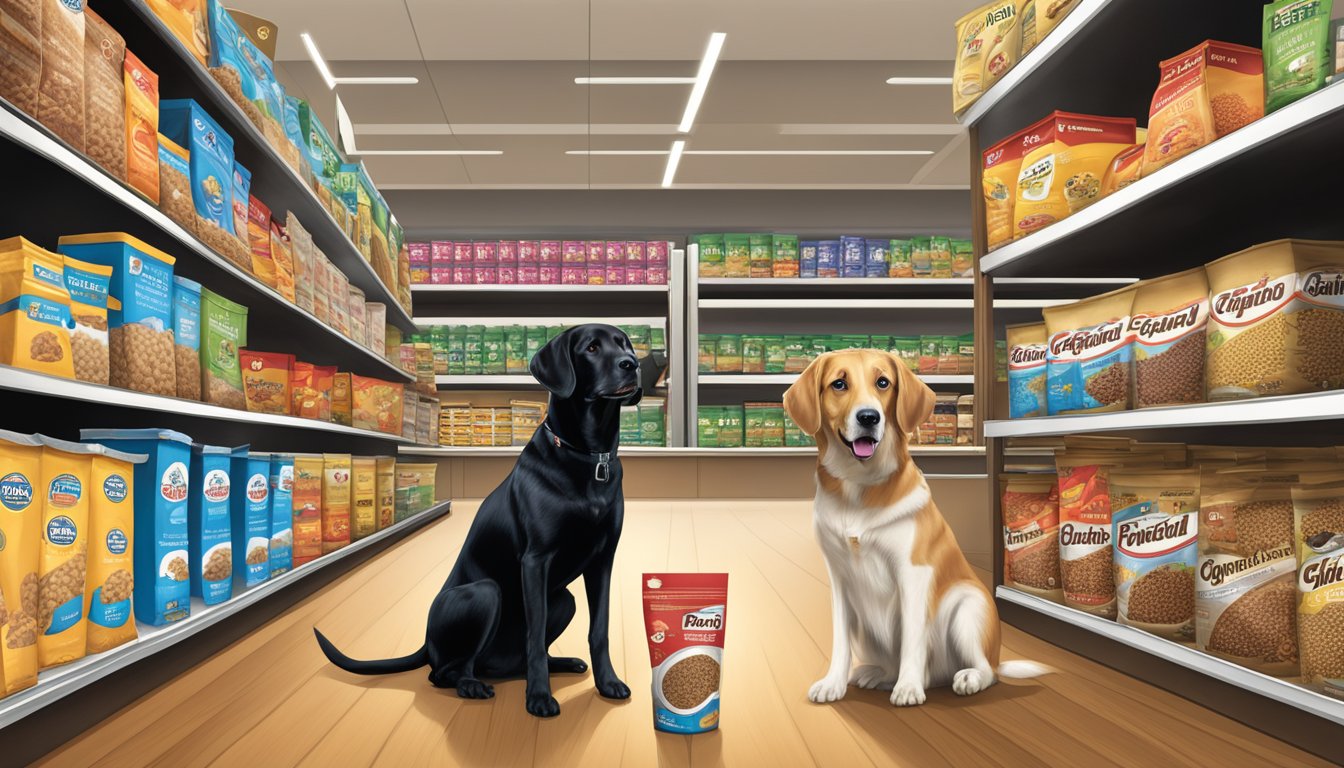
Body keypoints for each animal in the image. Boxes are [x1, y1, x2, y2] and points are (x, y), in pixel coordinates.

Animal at [314, 321, 639, 720]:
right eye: (591, 348)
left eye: (625, 345)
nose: (632, 364)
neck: (589, 456)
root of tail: (426, 642)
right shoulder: (536, 560)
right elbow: (534, 635)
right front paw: (539, 698)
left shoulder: (602, 561)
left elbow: (600, 629)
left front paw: (607, 683)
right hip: (485, 593)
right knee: (445, 671)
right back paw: (472, 686)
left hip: (563, 600)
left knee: (510, 658)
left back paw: (559, 664)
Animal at [784, 352, 1042, 704]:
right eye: (839, 383)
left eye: (883, 382)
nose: (869, 417)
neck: (859, 486)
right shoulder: (839, 578)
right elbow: (840, 641)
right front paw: (833, 683)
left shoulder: (913, 574)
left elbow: (912, 638)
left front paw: (908, 687)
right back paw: (874, 675)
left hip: (966, 605)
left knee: (986, 670)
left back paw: (965, 678)